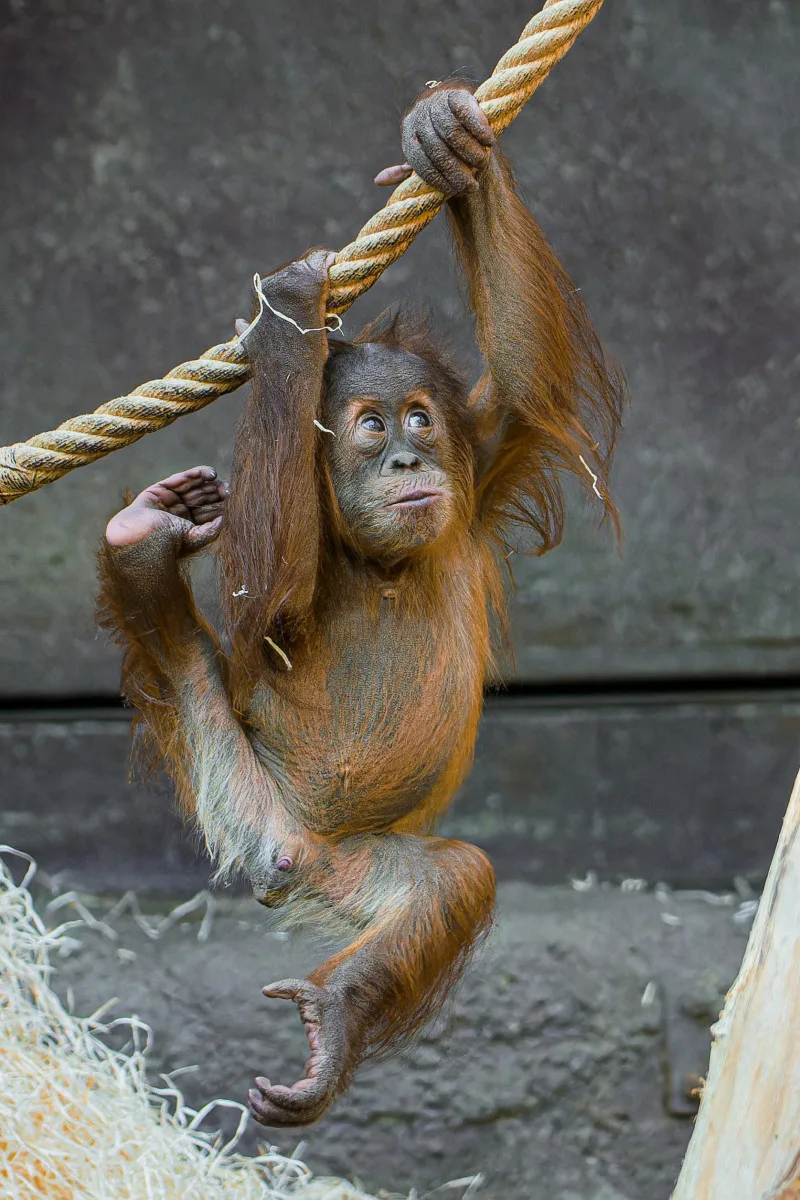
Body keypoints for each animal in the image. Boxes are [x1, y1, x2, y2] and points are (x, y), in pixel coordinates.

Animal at [97, 82, 625, 1127]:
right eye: (370, 428)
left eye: (417, 416)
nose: (410, 458)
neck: (376, 558)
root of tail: (287, 851)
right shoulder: (285, 580)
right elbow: (262, 599)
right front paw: (289, 324)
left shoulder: (477, 453)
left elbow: (525, 375)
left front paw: (447, 140)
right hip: (245, 789)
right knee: (188, 665)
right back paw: (140, 543)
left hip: (349, 865)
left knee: (447, 884)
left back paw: (334, 1018)